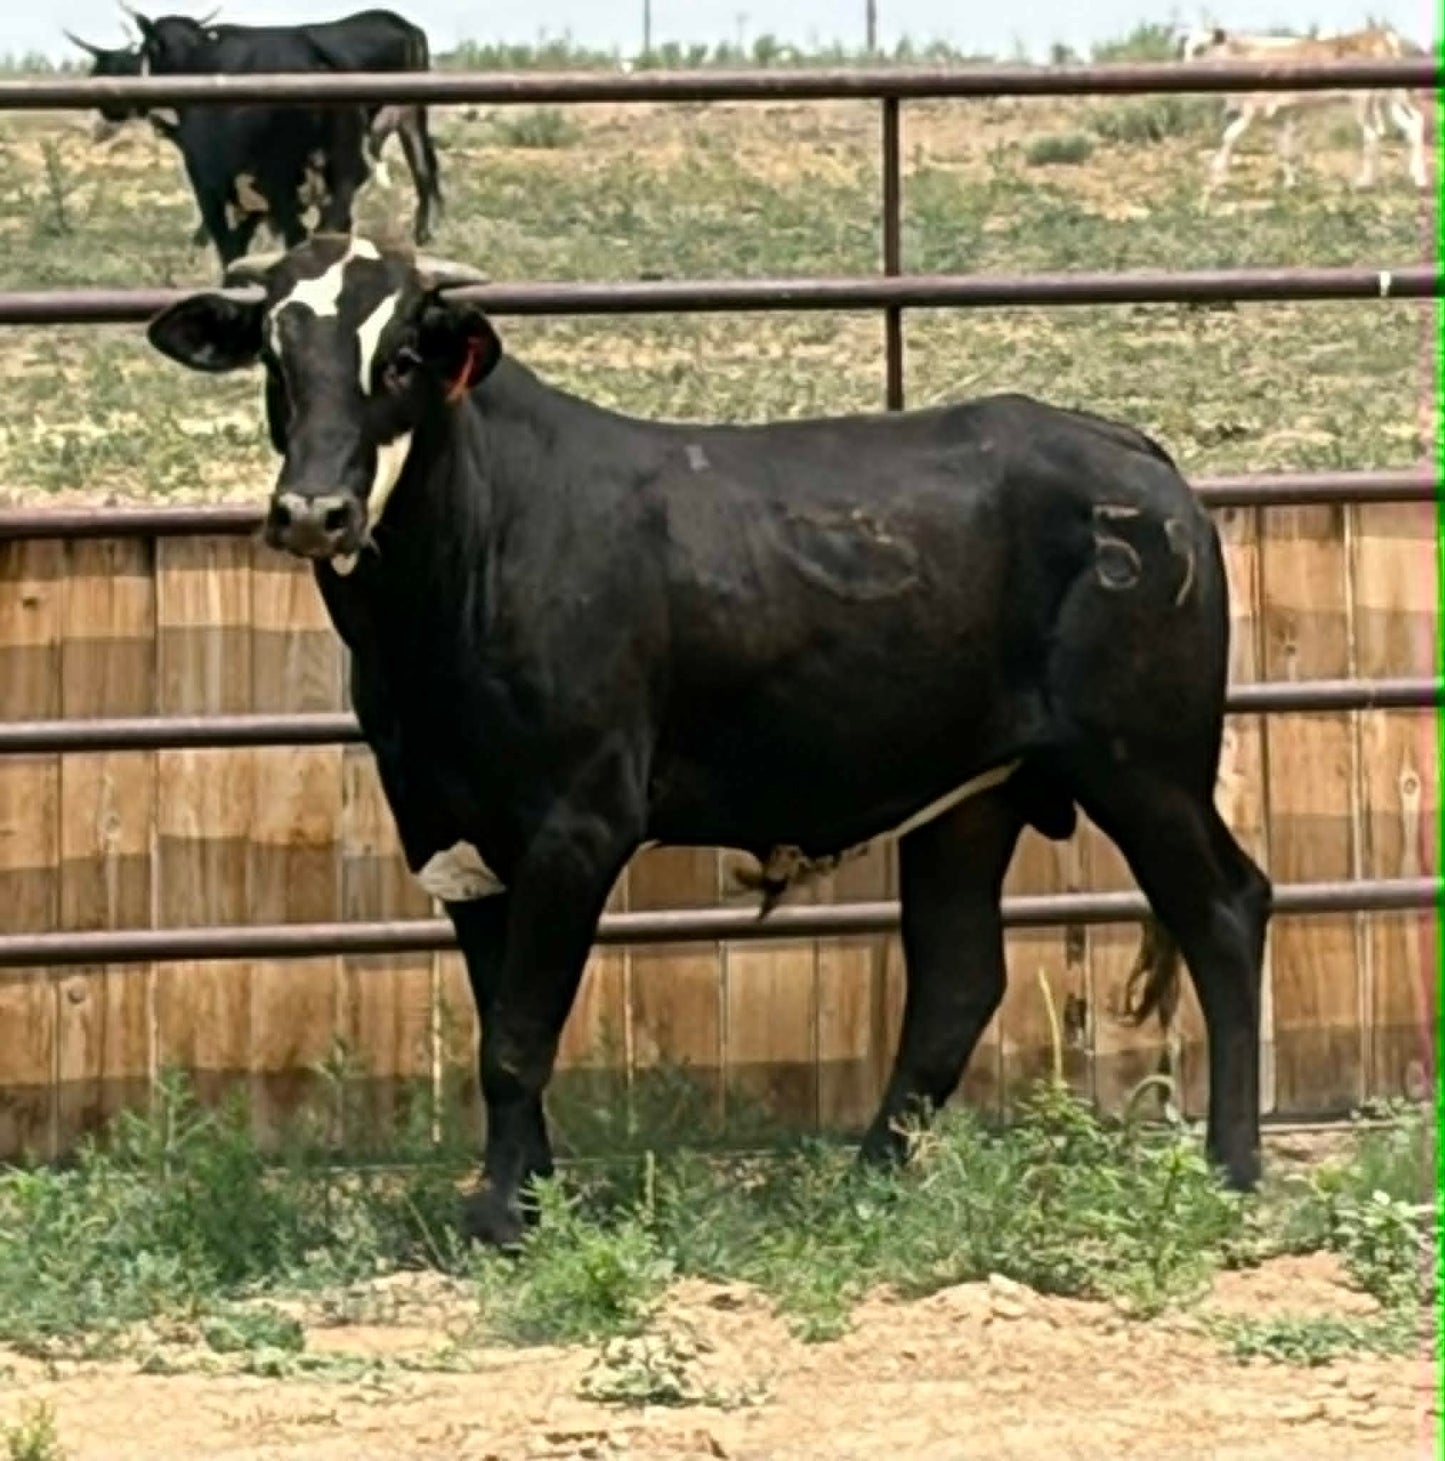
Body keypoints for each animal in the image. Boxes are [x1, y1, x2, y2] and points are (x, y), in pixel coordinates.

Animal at [143, 234, 1273, 1248]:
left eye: (402, 357)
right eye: (277, 357)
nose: (314, 510)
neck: (472, 555)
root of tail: (1130, 456)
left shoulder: (578, 822)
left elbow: (517, 1035)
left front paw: (503, 1217)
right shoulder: (443, 826)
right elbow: (499, 1018)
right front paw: (528, 1193)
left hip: (1146, 767)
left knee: (1225, 910)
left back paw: (1231, 1167)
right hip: (971, 797)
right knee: (956, 981)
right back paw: (864, 1183)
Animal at [1178, 24, 1428, 193]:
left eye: (1200, 49)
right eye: (1186, 48)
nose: (1184, 70)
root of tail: (1378, 34)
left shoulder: (1252, 111)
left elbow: (1228, 137)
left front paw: (1216, 177)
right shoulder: (1283, 114)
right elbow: (1285, 149)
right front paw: (1291, 183)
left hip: (1362, 101)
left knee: (1372, 134)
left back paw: (1364, 182)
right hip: (1391, 97)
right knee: (1412, 124)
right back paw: (1418, 178)